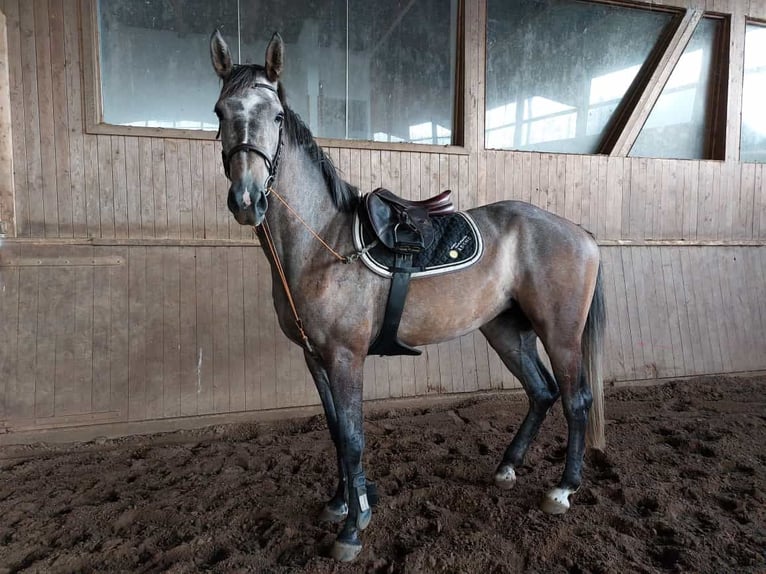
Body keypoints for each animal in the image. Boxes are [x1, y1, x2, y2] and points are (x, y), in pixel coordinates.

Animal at [208, 30, 608, 564]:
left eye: (274, 116)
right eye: (219, 112)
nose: (247, 200)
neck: (323, 244)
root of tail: (579, 232)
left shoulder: (345, 357)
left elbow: (353, 438)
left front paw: (352, 529)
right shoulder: (315, 358)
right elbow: (335, 432)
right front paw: (342, 502)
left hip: (560, 333)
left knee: (575, 399)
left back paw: (563, 489)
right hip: (506, 329)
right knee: (541, 391)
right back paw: (506, 468)